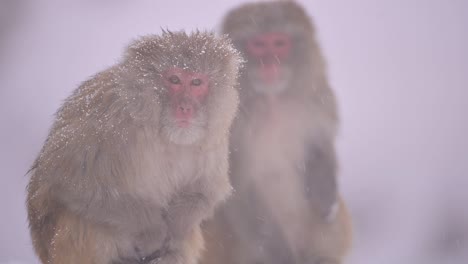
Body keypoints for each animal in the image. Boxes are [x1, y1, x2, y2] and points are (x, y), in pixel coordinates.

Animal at [26, 31, 243, 264]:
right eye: (174, 80)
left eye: (196, 82)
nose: (185, 107)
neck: (163, 133)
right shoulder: (109, 120)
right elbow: (70, 181)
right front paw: (152, 230)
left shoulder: (214, 138)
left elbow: (205, 190)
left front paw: (176, 226)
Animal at [200, 2, 352, 264]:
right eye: (258, 45)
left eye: (279, 43)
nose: (270, 64)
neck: (272, 101)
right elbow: (239, 190)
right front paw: (282, 254)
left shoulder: (318, 101)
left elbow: (322, 145)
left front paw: (323, 194)